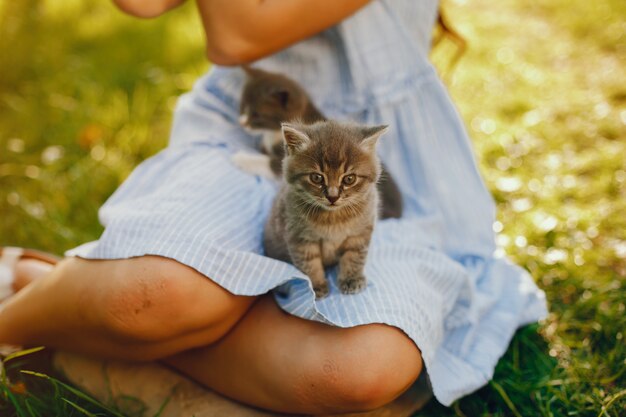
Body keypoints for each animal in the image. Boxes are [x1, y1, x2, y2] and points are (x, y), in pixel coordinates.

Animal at [260, 118, 382, 298]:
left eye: (349, 179)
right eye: (316, 177)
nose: (332, 197)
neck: (333, 217)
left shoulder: (361, 231)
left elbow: (354, 256)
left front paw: (351, 279)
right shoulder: (300, 237)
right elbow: (310, 264)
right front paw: (316, 286)